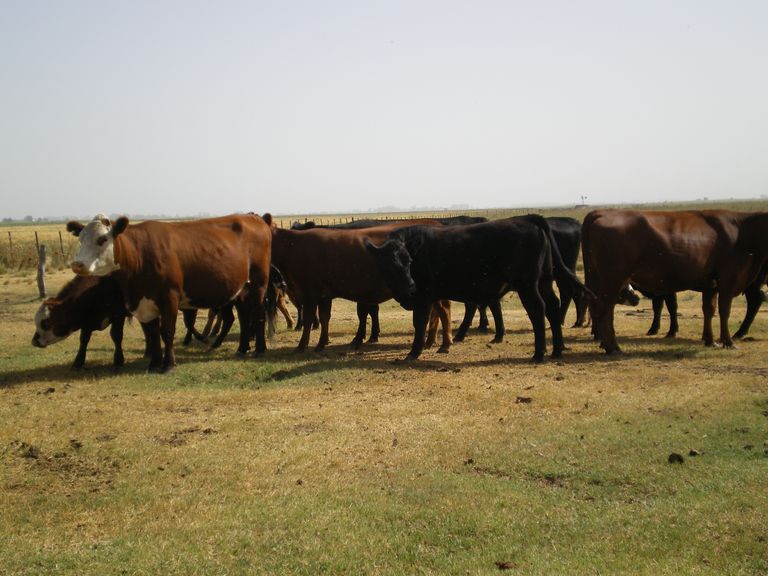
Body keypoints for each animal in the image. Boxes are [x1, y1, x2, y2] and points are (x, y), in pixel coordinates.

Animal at [66, 214, 272, 372]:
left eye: (102, 240)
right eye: (80, 239)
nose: (77, 264)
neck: (140, 254)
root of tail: (256, 219)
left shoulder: (169, 297)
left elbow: (166, 331)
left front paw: (168, 364)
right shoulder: (144, 303)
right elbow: (153, 333)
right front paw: (154, 363)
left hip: (259, 283)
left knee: (258, 313)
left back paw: (259, 349)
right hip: (241, 289)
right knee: (244, 317)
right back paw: (242, 348)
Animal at [584, 208, 768, 352]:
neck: (743, 230)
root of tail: (601, 213)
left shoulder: (710, 284)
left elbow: (709, 310)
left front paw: (710, 341)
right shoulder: (728, 280)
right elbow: (724, 311)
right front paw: (728, 342)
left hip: (598, 278)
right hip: (613, 279)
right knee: (605, 309)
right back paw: (613, 347)